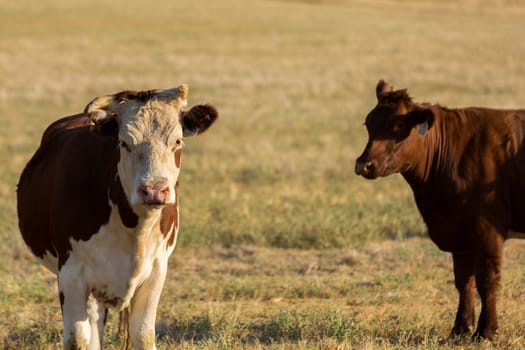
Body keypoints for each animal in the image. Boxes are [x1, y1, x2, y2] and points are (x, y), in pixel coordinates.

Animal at [16, 85, 217, 350]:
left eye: (177, 141)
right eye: (125, 143)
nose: (154, 190)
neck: (135, 228)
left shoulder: (156, 272)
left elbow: (143, 334)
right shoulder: (71, 275)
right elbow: (77, 338)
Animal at [354, 80, 524, 340]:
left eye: (400, 124)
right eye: (368, 123)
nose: (363, 165)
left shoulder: (487, 228)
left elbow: (487, 279)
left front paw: (486, 331)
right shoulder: (459, 232)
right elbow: (464, 281)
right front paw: (460, 329)